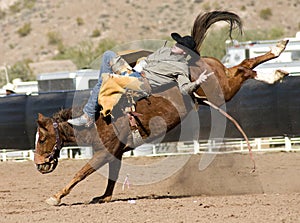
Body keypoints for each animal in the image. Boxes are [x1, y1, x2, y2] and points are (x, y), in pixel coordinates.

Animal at [34, 10, 290, 206]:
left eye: (42, 138)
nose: (38, 165)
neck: (98, 118)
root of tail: (196, 57)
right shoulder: (116, 153)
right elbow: (111, 177)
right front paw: (104, 197)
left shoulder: (105, 152)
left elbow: (81, 172)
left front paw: (55, 197)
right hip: (222, 85)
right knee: (244, 67)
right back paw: (278, 66)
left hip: (224, 88)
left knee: (245, 68)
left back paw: (277, 55)